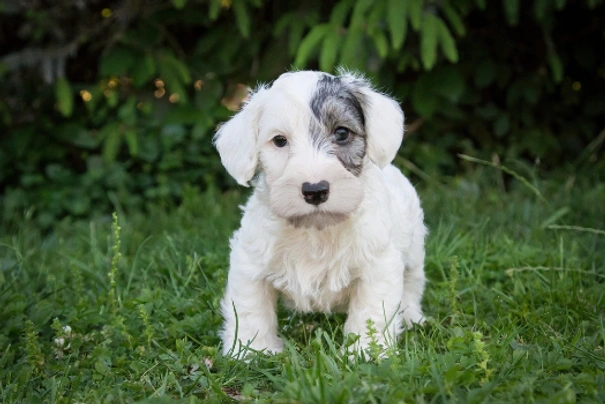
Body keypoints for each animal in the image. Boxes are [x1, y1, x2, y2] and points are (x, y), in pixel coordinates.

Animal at [212, 69, 424, 356]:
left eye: (342, 133)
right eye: (279, 141)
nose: (315, 190)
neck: (316, 230)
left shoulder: (379, 266)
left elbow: (371, 312)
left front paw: (366, 351)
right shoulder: (249, 263)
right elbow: (250, 309)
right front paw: (251, 351)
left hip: (414, 251)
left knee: (413, 283)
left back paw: (412, 317)